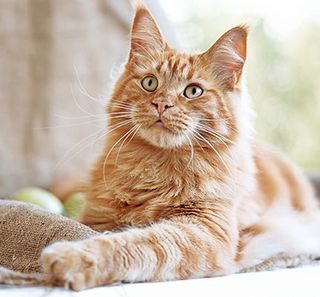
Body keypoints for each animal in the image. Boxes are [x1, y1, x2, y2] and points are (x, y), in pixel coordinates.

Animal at [40, 2, 320, 290]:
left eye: (193, 91)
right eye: (150, 83)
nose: (162, 104)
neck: (156, 167)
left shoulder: (204, 229)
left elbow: (136, 242)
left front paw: (72, 257)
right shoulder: (97, 217)